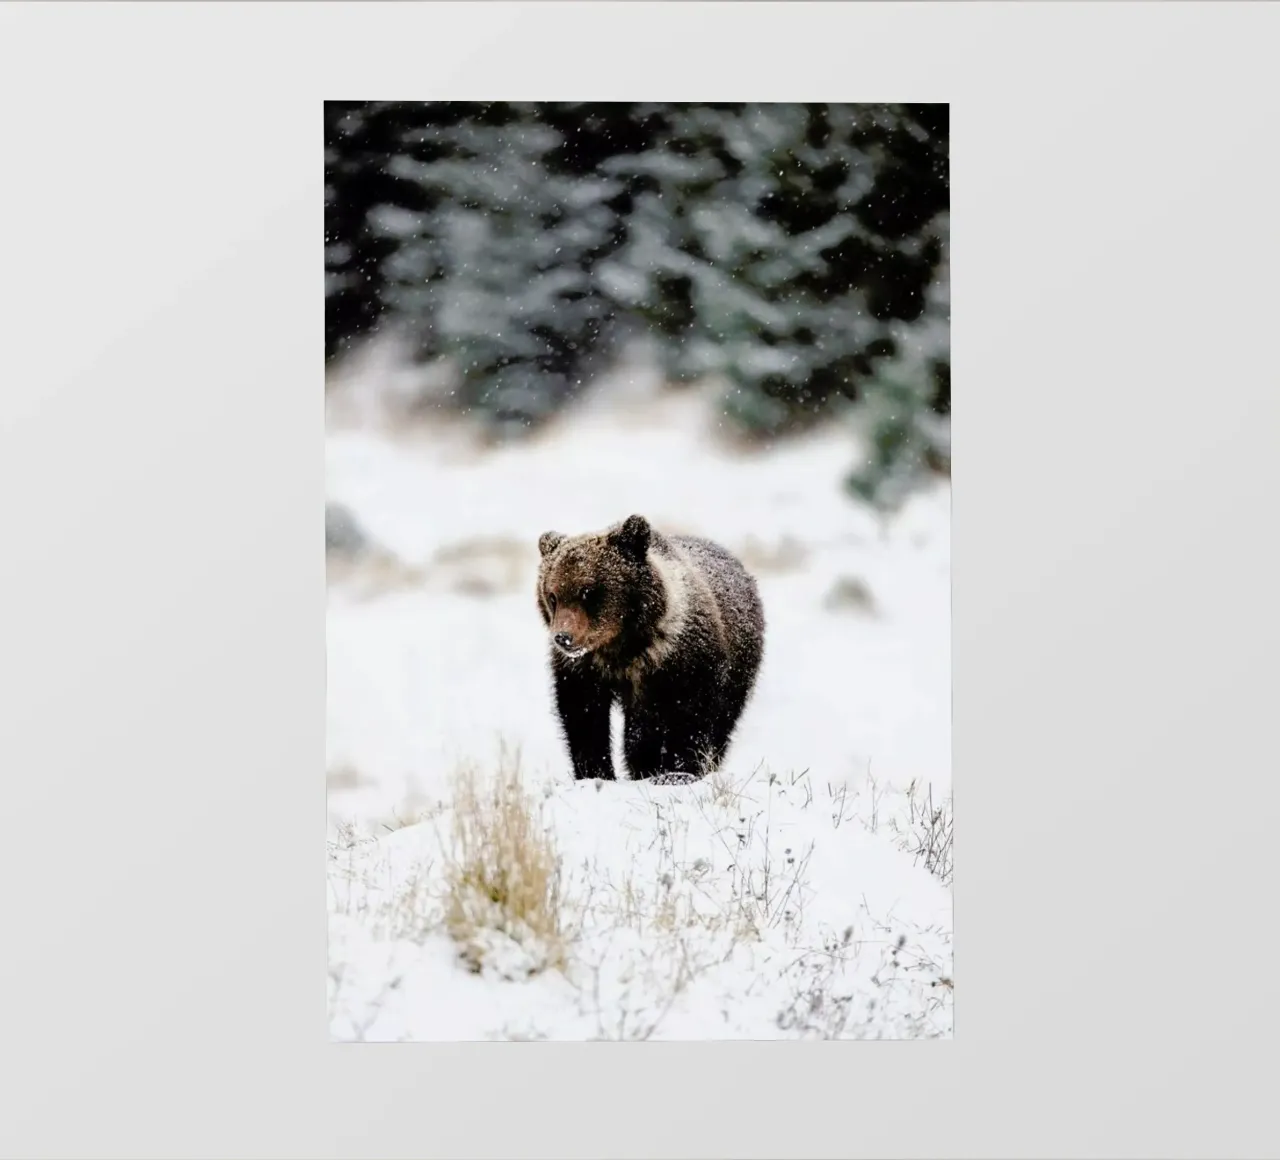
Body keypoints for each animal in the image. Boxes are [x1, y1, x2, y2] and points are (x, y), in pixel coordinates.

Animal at [535, 514, 765, 782]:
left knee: (723, 722)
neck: (622, 648)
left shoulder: (682, 663)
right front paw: (597, 772)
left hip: (739, 668)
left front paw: (677, 771)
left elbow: (687, 719)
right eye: (553, 595)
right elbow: (584, 718)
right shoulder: (584, 670)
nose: (563, 637)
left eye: (587, 591)